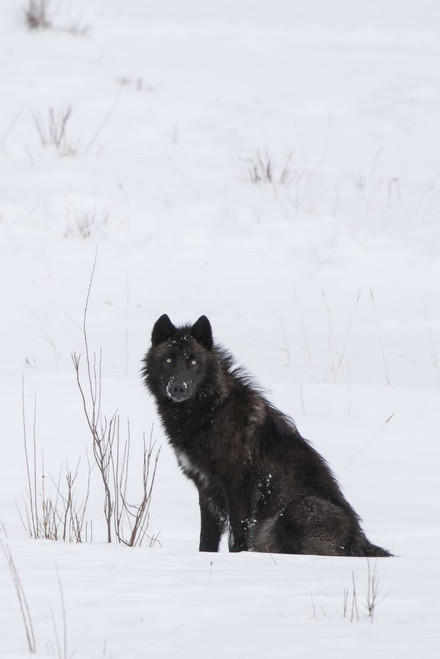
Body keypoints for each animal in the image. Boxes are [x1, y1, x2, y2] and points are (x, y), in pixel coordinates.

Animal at [142, 314, 391, 557]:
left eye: (193, 362)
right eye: (169, 361)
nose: (178, 387)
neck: (212, 410)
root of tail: (361, 542)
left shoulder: (240, 485)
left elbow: (237, 535)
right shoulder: (206, 488)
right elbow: (208, 538)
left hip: (295, 510)